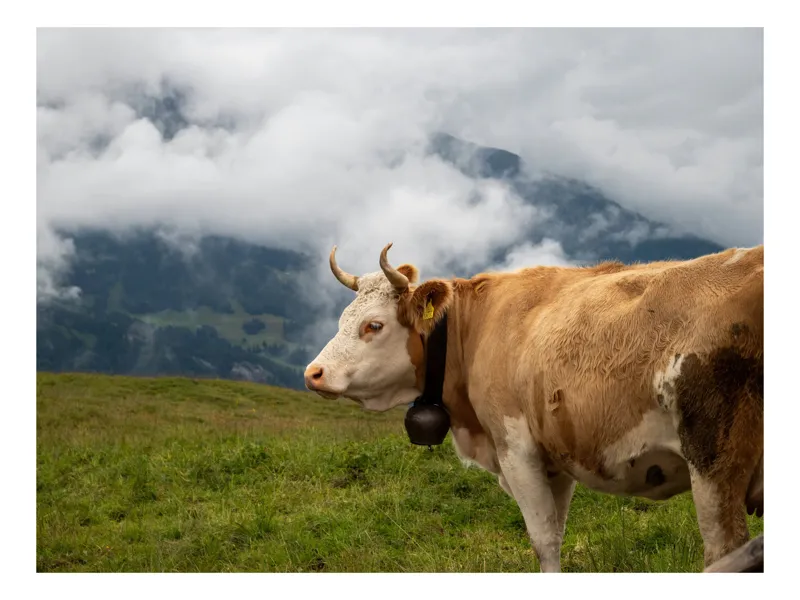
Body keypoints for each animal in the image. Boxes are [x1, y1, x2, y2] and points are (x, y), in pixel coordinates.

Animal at [304, 242, 764, 572]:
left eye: (373, 325)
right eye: (343, 318)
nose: (314, 373)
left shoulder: (517, 448)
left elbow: (543, 541)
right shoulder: (555, 457)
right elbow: (555, 533)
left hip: (714, 460)